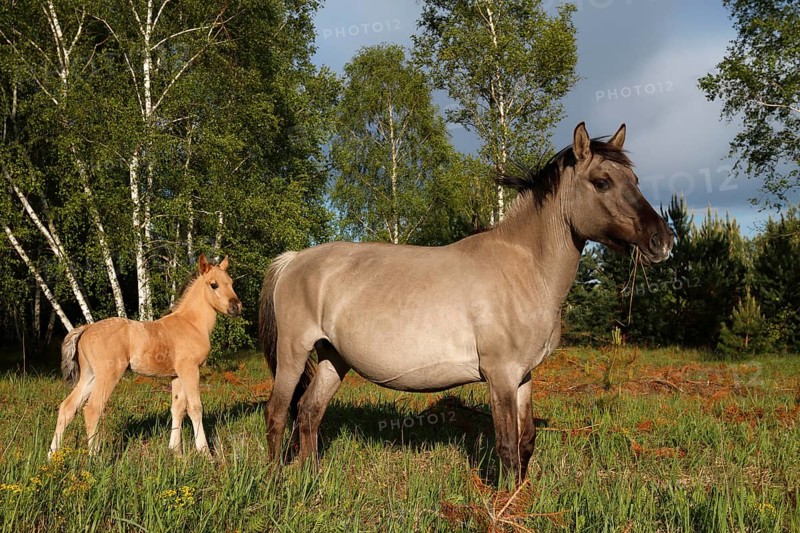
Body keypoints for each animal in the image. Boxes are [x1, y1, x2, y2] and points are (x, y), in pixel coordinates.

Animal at [48, 254, 241, 459]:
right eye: (214, 284)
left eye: (231, 282)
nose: (236, 306)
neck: (191, 323)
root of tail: (86, 328)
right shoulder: (190, 369)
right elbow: (195, 407)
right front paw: (205, 453)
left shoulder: (176, 375)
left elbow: (178, 408)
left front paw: (175, 451)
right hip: (108, 375)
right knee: (92, 409)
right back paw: (95, 457)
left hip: (89, 375)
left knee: (68, 407)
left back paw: (52, 456)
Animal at [259, 123, 674, 481]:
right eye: (602, 182)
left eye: (635, 181)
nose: (663, 241)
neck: (525, 270)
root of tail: (293, 259)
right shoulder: (500, 376)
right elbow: (507, 446)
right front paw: (504, 506)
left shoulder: (523, 376)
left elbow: (526, 441)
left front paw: (519, 499)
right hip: (294, 354)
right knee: (278, 414)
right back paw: (276, 480)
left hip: (334, 358)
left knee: (309, 413)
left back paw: (311, 477)